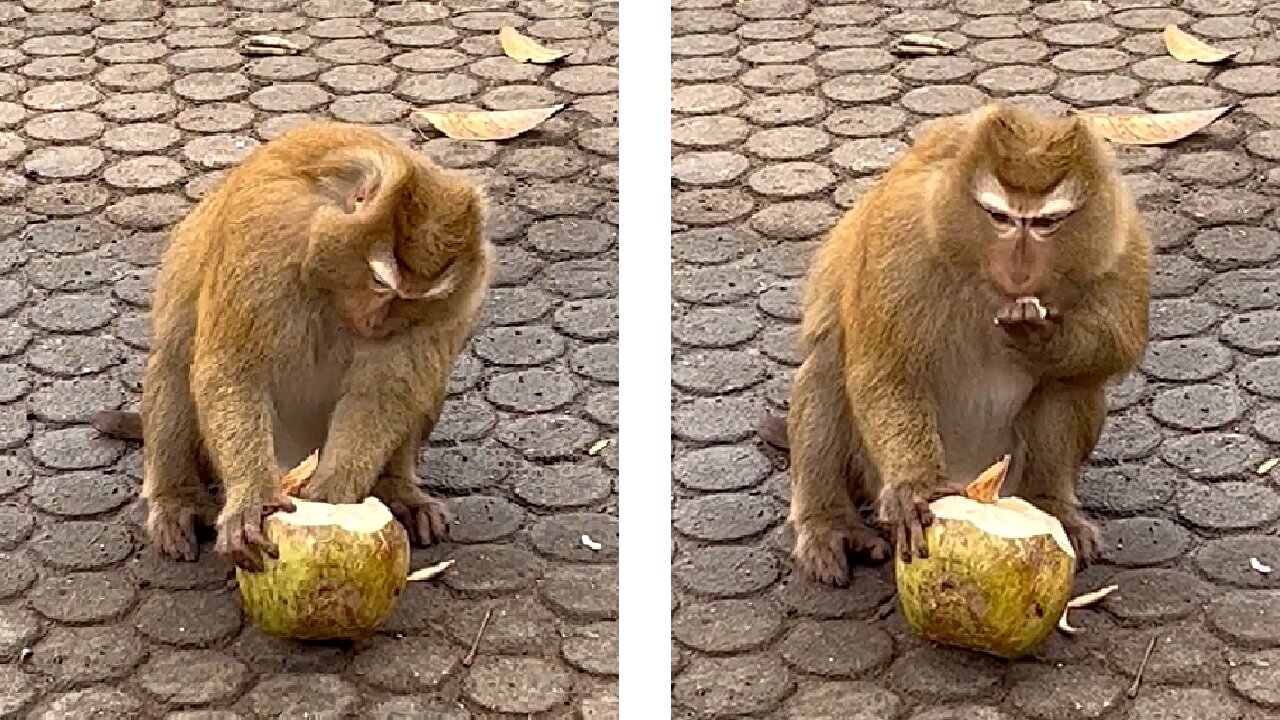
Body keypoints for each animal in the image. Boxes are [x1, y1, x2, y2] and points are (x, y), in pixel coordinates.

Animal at [92, 122, 491, 571]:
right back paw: (179, 498)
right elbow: (232, 371)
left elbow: (385, 392)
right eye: (379, 282)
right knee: (176, 363)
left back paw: (396, 488)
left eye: (411, 302)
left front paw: (333, 500)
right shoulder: (266, 234)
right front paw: (250, 501)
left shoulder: (459, 297)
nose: (375, 322)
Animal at [768, 101, 1152, 584]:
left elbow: (1119, 343)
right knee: (826, 367)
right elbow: (886, 370)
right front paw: (914, 485)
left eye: (1046, 223)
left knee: (1072, 379)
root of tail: (975, 483)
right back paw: (830, 521)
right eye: (1000, 218)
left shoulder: (1119, 234)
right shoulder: (903, 238)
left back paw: (1052, 504)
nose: (1019, 269)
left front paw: (1042, 340)